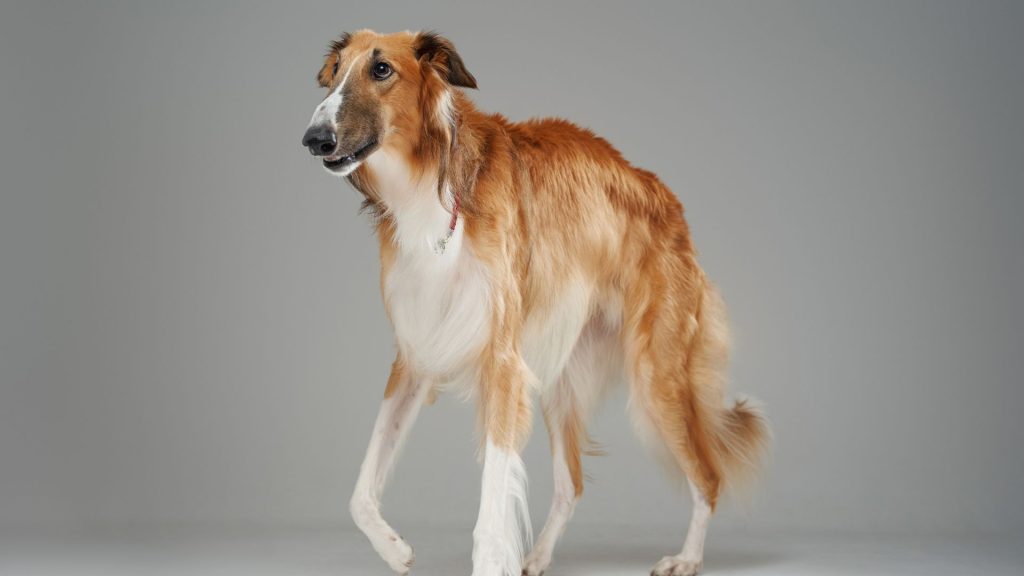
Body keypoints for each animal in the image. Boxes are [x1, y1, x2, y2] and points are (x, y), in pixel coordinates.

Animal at [301, 30, 770, 573]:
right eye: (335, 71)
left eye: (381, 70)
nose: (313, 139)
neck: (432, 189)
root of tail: (664, 196)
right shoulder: (416, 356)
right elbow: (359, 494)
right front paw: (396, 550)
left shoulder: (502, 363)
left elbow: (490, 517)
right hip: (561, 377)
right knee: (572, 485)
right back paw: (539, 556)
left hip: (657, 376)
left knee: (707, 477)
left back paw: (687, 558)